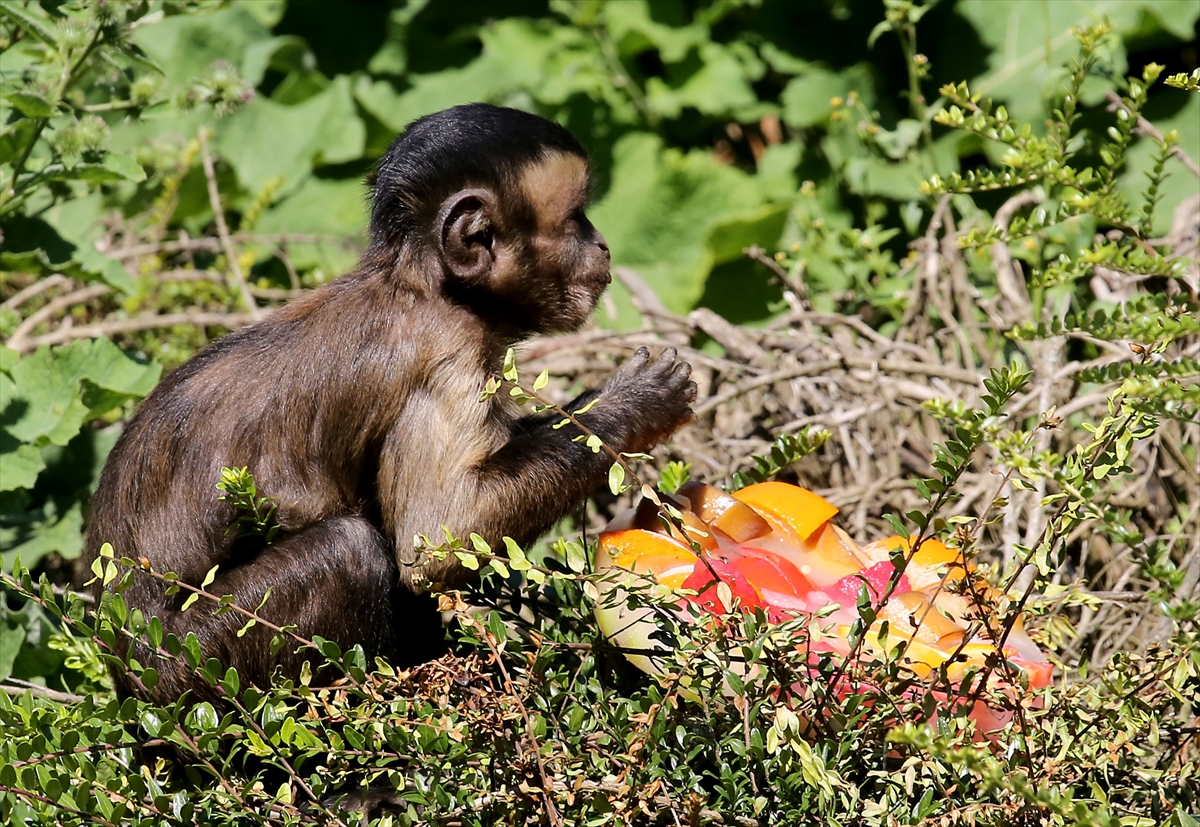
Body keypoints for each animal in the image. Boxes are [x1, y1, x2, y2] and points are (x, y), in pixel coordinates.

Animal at [84, 100, 700, 700]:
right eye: (575, 217)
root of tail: (122, 660)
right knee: (350, 549)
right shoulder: (448, 354)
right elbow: (437, 540)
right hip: (195, 661)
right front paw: (634, 406)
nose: (603, 244)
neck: (429, 287)